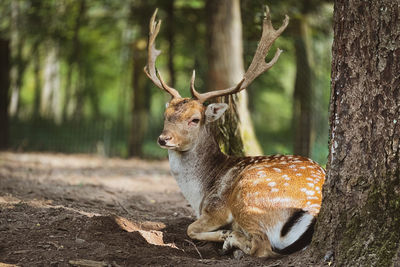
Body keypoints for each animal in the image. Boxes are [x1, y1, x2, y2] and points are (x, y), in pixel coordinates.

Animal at [144, 7, 324, 260]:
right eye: (165, 114)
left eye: (195, 119)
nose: (164, 139)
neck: (199, 193)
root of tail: (312, 210)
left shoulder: (216, 208)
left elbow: (190, 228)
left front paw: (223, 235)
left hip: (247, 196)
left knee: (262, 246)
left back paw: (231, 241)